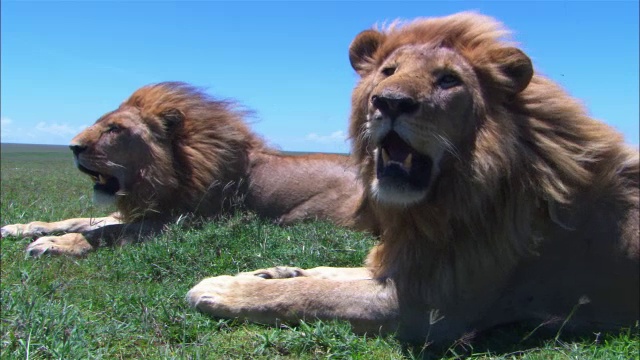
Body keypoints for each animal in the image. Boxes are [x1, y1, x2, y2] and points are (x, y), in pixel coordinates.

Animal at [1, 81, 376, 256]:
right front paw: (22, 227)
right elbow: (79, 220)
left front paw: (54, 244)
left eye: (115, 129)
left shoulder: (186, 221)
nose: (73, 147)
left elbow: (106, 231)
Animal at [186, 12, 640, 344]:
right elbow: (331, 273)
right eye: (388, 71)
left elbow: (320, 294)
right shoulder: (408, 264)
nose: (388, 102)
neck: (443, 203)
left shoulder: (429, 310)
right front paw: (271, 273)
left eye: (448, 80)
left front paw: (226, 290)